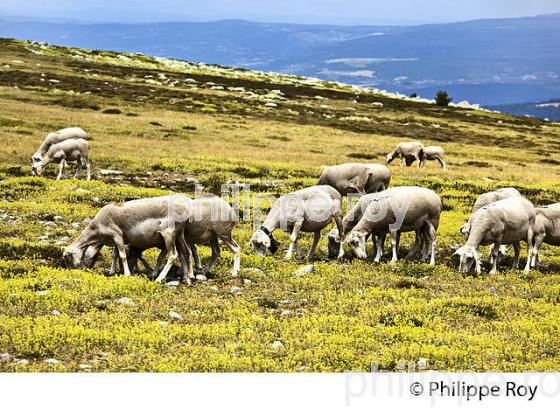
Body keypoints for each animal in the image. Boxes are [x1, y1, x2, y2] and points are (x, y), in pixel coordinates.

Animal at [61, 195, 195, 286]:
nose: (77, 270)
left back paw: (159, 278)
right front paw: (111, 271)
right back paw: (188, 278)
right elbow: (115, 254)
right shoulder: (117, 239)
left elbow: (122, 255)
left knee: (173, 255)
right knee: (186, 252)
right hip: (179, 234)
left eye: (67, 257)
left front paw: (126, 274)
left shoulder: (117, 235)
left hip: (168, 234)